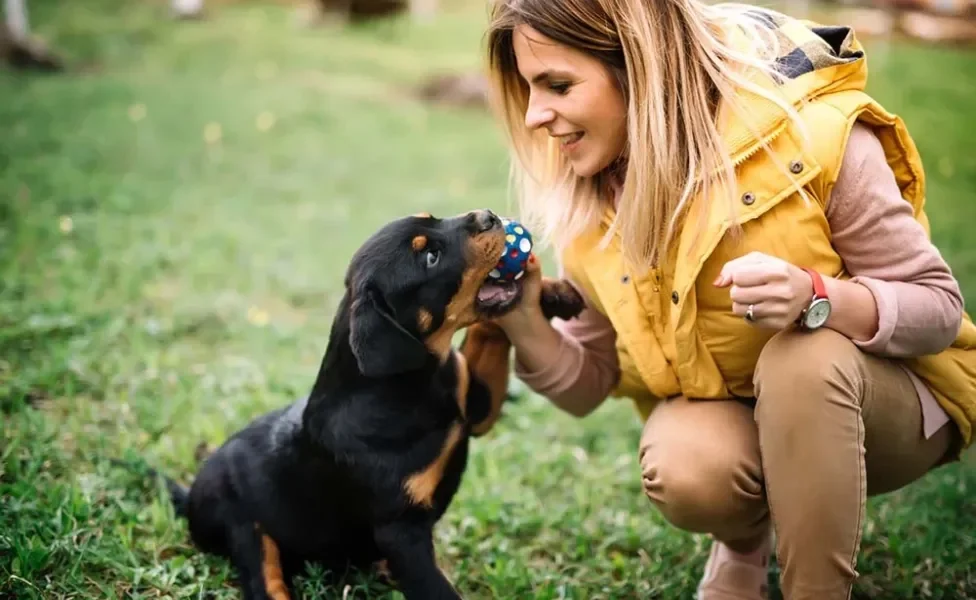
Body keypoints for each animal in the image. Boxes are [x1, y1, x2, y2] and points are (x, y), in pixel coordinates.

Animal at [152, 210, 580, 600]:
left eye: (434, 218)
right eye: (431, 258)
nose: (488, 216)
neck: (412, 383)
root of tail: (190, 497)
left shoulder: (474, 408)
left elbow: (488, 330)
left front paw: (551, 292)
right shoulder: (401, 531)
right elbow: (436, 590)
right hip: (244, 528)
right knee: (264, 582)